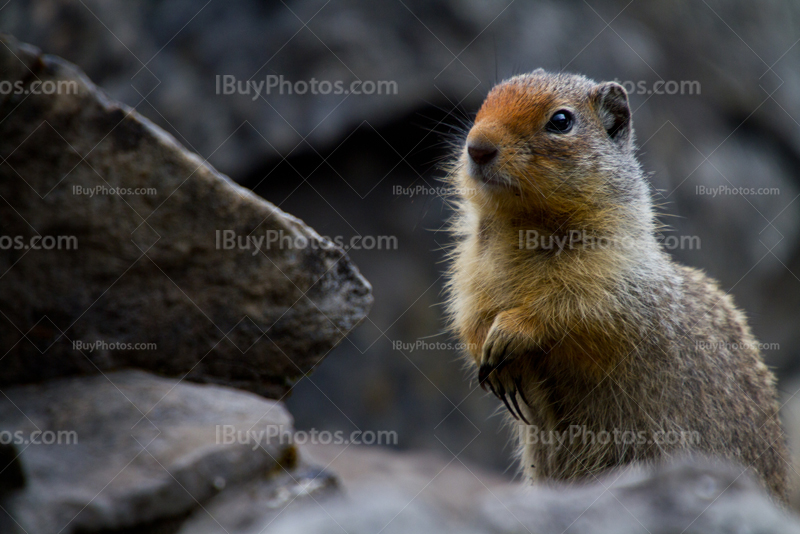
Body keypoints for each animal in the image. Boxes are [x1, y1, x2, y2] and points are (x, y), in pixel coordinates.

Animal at [446, 69, 792, 500]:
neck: (524, 227)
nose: (477, 147)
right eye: (485, 102)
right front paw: (488, 353)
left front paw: (511, 331)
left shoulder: (616, 276)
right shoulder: (470, 271)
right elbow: (469, 313)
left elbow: (576, 310)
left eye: (561, 121)